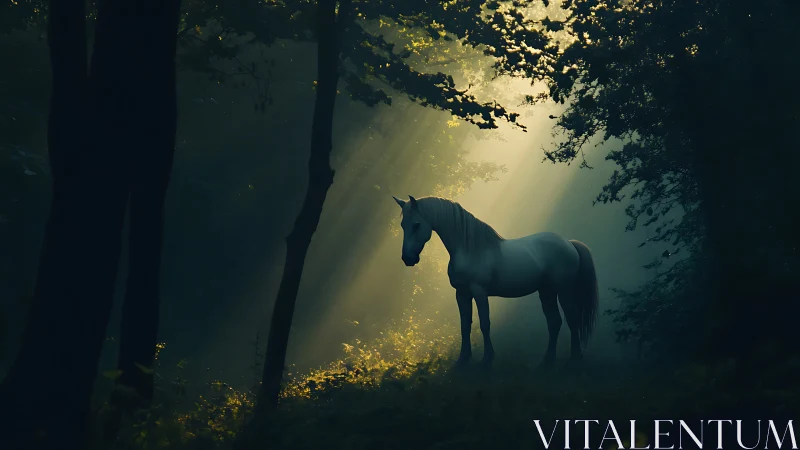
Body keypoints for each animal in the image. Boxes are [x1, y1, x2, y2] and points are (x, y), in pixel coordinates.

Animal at [392, 195, 599, 368]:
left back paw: (574, 358)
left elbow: (485, 323)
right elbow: (465, 325)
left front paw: (487, 359)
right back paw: (547, 360)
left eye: (416, 225)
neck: (470, 249)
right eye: (403, 225)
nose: (407, 259)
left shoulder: (479, 292)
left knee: (572, 318)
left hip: (564, 290)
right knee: (554, 322)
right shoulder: (462, 294)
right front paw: (462, 360)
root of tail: (569, 243)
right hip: (546, 291)